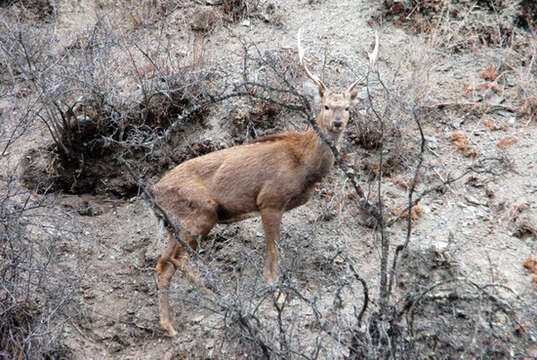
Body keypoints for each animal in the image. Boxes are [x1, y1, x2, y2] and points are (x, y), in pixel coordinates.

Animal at [149, 29, 378, 336]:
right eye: (326, 105)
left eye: (348, 107)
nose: (338, 122)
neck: (303, 164)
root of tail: (153, 192)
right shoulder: (270, 200)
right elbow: (273, 255)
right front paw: (278, 293)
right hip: (199, 213)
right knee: (177, 260)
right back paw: (217, 298)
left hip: (177, 223)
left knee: (163, 263)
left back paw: (169, 325)